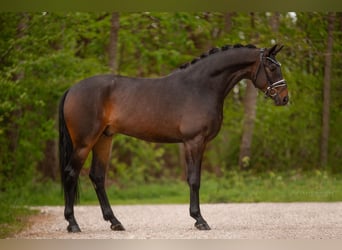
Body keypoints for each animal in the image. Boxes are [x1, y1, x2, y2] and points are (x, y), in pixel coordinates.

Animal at [58, 44, 288, 233]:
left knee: (97, 176)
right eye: (272, 67)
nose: (285, 98)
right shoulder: (193, 141)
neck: (201, 86)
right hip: (84, 142)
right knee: (71, 173)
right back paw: (73, 224)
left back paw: (115, 222)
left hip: (104, 139)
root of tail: (72, 89)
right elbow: (194, 179)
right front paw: (200, 220)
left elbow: (194, 178)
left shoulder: (198, 143)